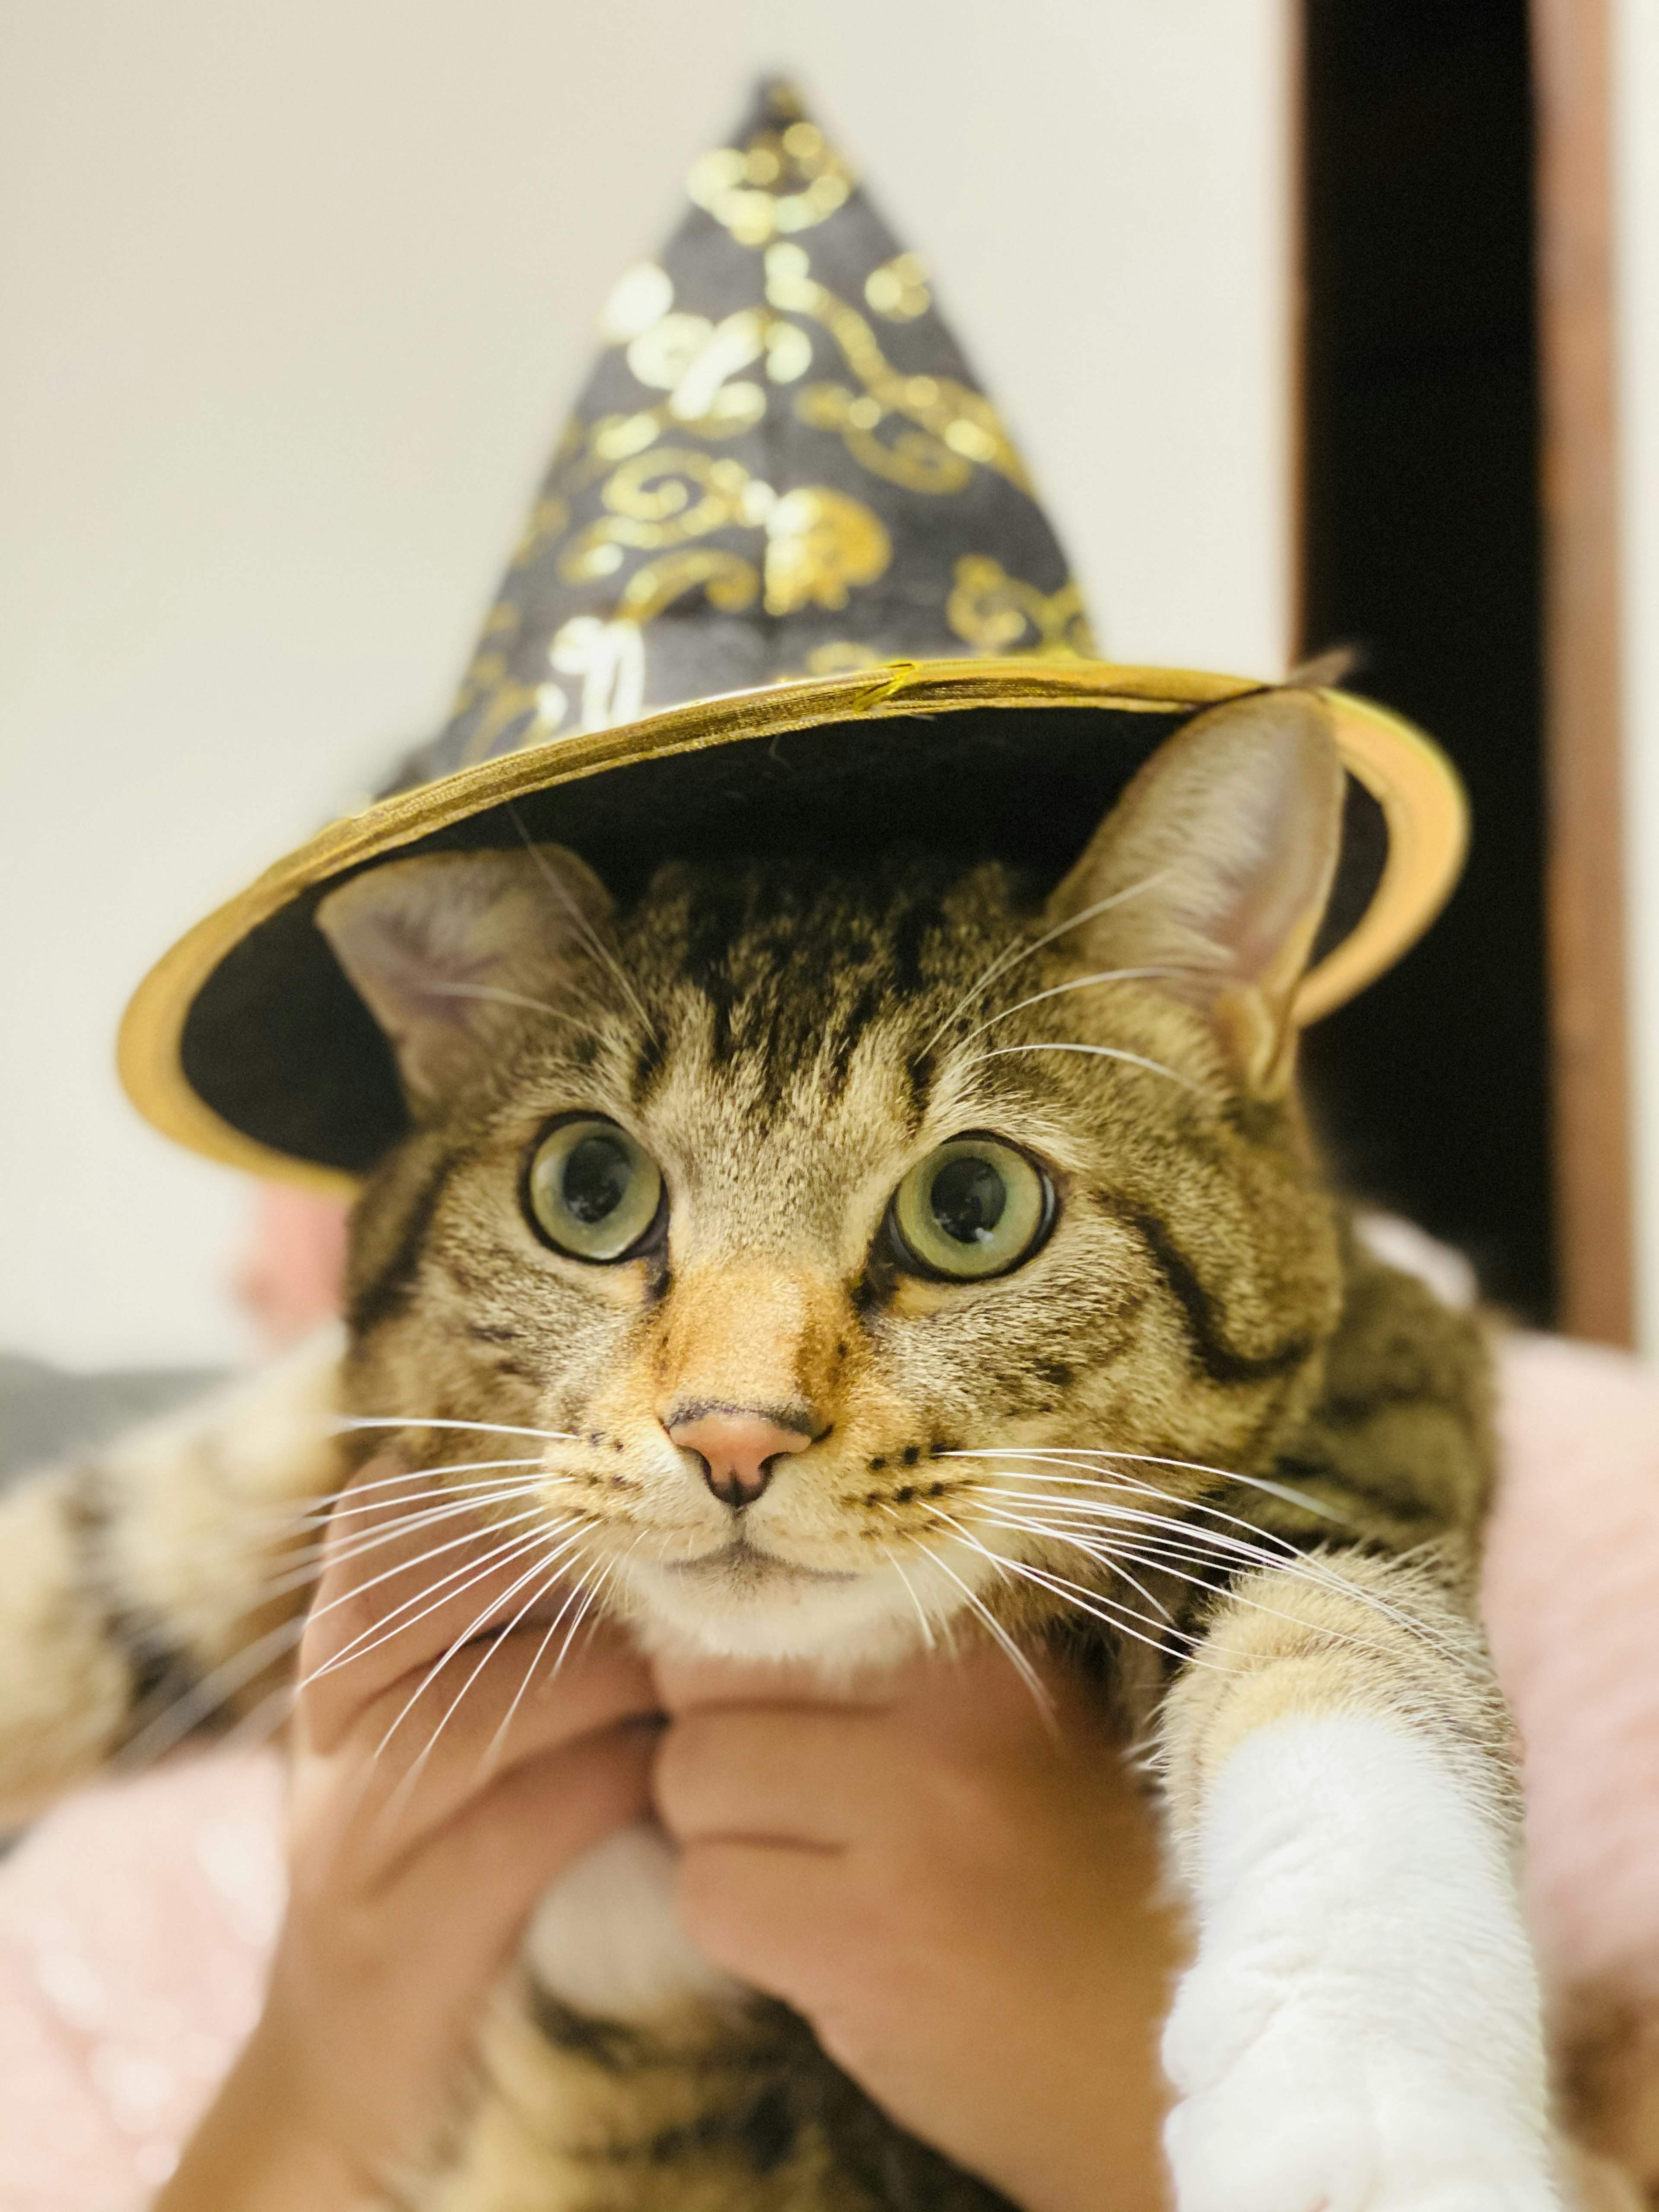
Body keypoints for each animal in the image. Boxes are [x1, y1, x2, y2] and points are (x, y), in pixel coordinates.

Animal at [0, 694, 1557, 2212]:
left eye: (975, 1205)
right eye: (589, 1188)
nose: (732, 1436)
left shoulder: (1369, 1429)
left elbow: (1341, 1690)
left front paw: (1369, 2128)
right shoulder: (328, 1436)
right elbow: (100, 1549)